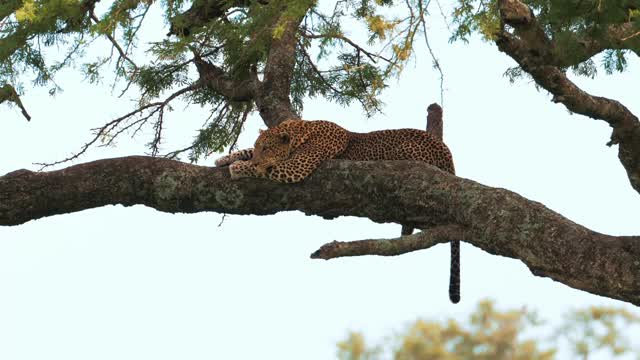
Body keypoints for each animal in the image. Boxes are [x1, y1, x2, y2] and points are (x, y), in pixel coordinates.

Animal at [216, 119, 460, 304]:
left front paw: (239, 167)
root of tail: (447, 155)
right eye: (259, 146)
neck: (301, 130)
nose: (258, 158)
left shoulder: (296, 166)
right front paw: (226, 157)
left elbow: (265, 168)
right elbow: (246, 151)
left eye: (266, 148)